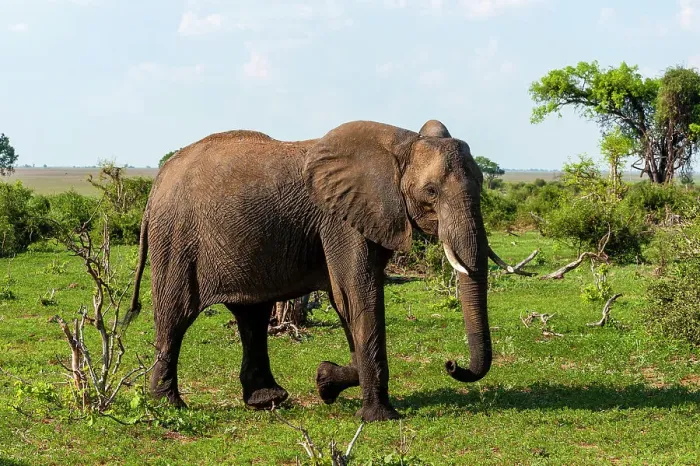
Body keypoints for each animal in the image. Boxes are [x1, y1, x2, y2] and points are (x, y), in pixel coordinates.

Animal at [124, 119, 492, 422]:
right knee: (176, 314)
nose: (451, 363)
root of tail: (155, 186)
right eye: (431, 192)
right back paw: (169, 405)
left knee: (251, 317)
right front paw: (379, 417)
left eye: (481, 184)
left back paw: (268, 400)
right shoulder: (340, 221)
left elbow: (348, 304)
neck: (401, 145)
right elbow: (358, 296)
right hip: (176, 237)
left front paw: (325, 381)